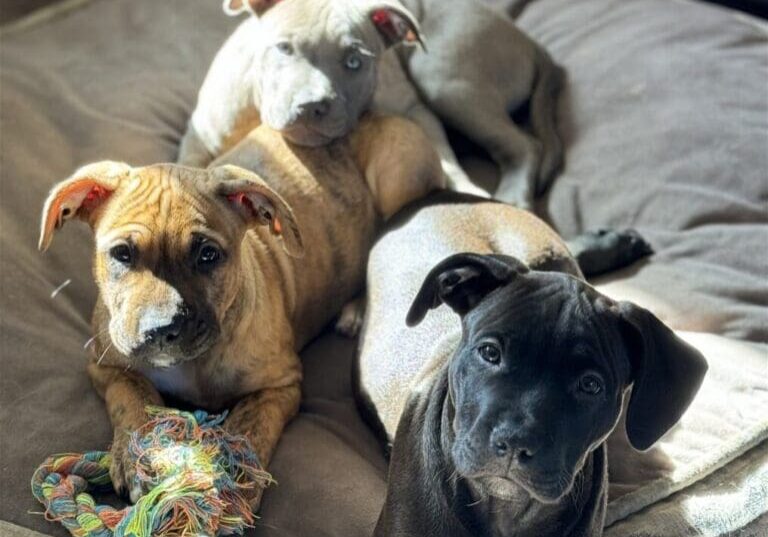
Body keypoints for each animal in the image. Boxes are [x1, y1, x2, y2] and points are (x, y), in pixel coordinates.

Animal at [37, 114, 444, 506]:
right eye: (122, 254)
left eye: (208, 255)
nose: (161, 330)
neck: (194, 365)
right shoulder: (105, 365)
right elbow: (132, 400)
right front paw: (143, 456)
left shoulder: (280, 385)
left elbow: (249, 428)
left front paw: (231, 479)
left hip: (397, 181)